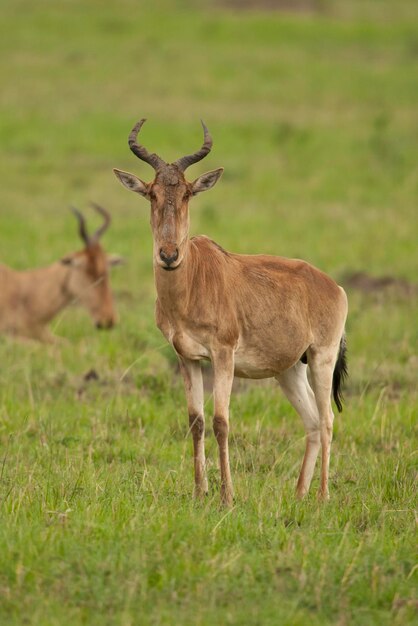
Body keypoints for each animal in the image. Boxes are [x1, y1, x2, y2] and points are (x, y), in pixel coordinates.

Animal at [114, 119, 350, 504]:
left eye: (187, 193)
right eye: (151, 192)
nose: (168, 255)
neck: (194, 279)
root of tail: (334, 286)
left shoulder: (223, 355)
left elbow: (221, 421)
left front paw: (227, 496)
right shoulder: (187, 357)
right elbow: (196, 420)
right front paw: (200, 491)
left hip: (322, 357)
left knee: (328, 418)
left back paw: (323, 496)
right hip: (289, 370)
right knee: (312, 422)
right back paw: (298, 494)